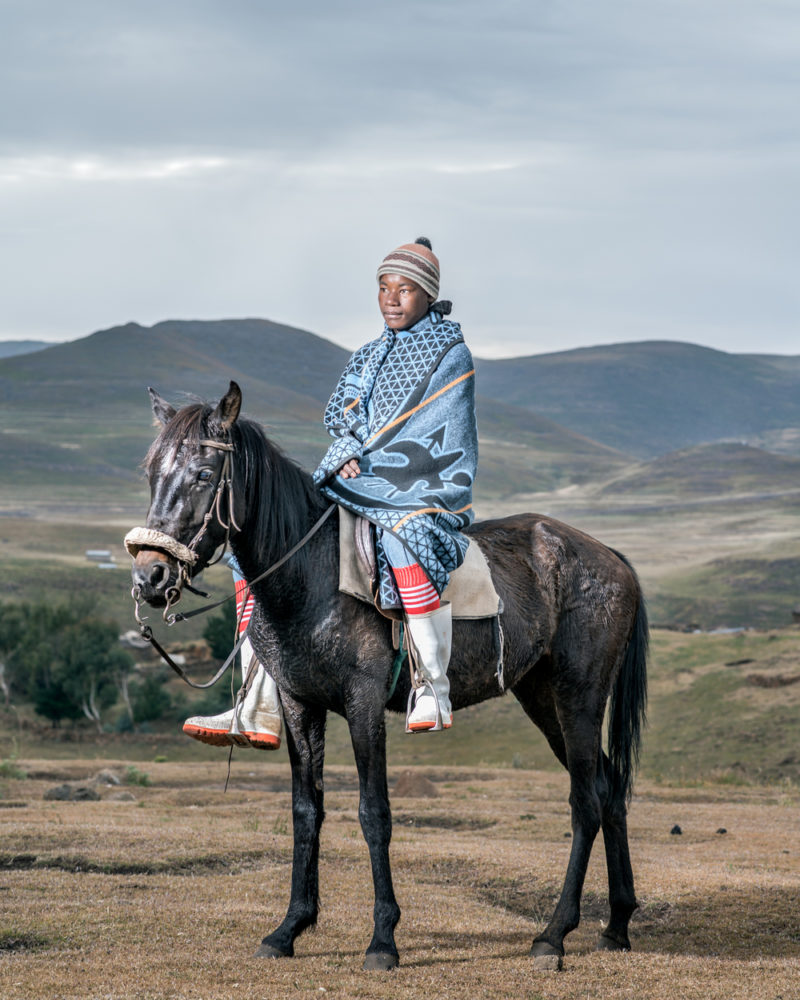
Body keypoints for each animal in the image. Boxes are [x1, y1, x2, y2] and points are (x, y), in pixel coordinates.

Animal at [130, 380, 644, 968]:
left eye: (203, 475)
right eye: (152, 474)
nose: (150, 575)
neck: (312, 578)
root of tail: (611, 559)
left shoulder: (363, 704)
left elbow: (374, 813)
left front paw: (383, 939)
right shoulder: (299, 704)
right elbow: (306, 810)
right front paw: (288, 928)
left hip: (578, 693)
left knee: (586, 800)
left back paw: (554, 933)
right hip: (540, 696)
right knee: (608, 787)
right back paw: (617, 924)